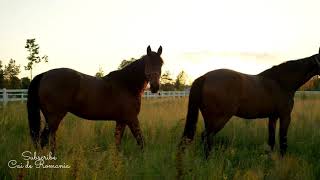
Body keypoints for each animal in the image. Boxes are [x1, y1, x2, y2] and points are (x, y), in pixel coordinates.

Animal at [26, 45, 164, 153]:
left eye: (161, 63)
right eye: (148, 63)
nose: (155, 87)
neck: (127, 84)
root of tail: (44, 75)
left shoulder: (121, 120)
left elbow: (117, 143)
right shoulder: (132, 119)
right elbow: (141, 142)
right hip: (54, 118)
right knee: (46, 140)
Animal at [179, 47, 320, 158]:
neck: (280, 82)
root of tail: (204, 77)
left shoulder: (273, 116)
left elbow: (271, 140)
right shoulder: (285, 116)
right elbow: (283, 140)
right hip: (219, 118)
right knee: (207, 137)